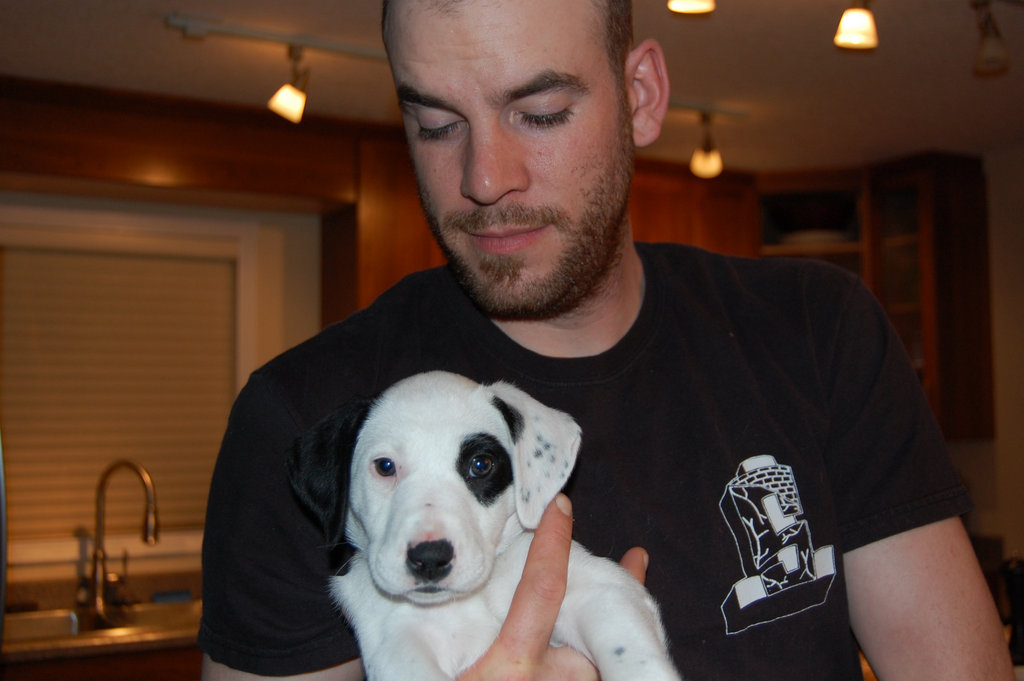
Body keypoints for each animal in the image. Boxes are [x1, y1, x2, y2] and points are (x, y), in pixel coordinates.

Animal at [289, 371, 681, 681]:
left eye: (480, 465)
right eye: (385, 467)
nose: (430, 558)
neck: (467, 600)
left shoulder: (602, 592)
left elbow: (632, 657)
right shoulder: (396, 644)